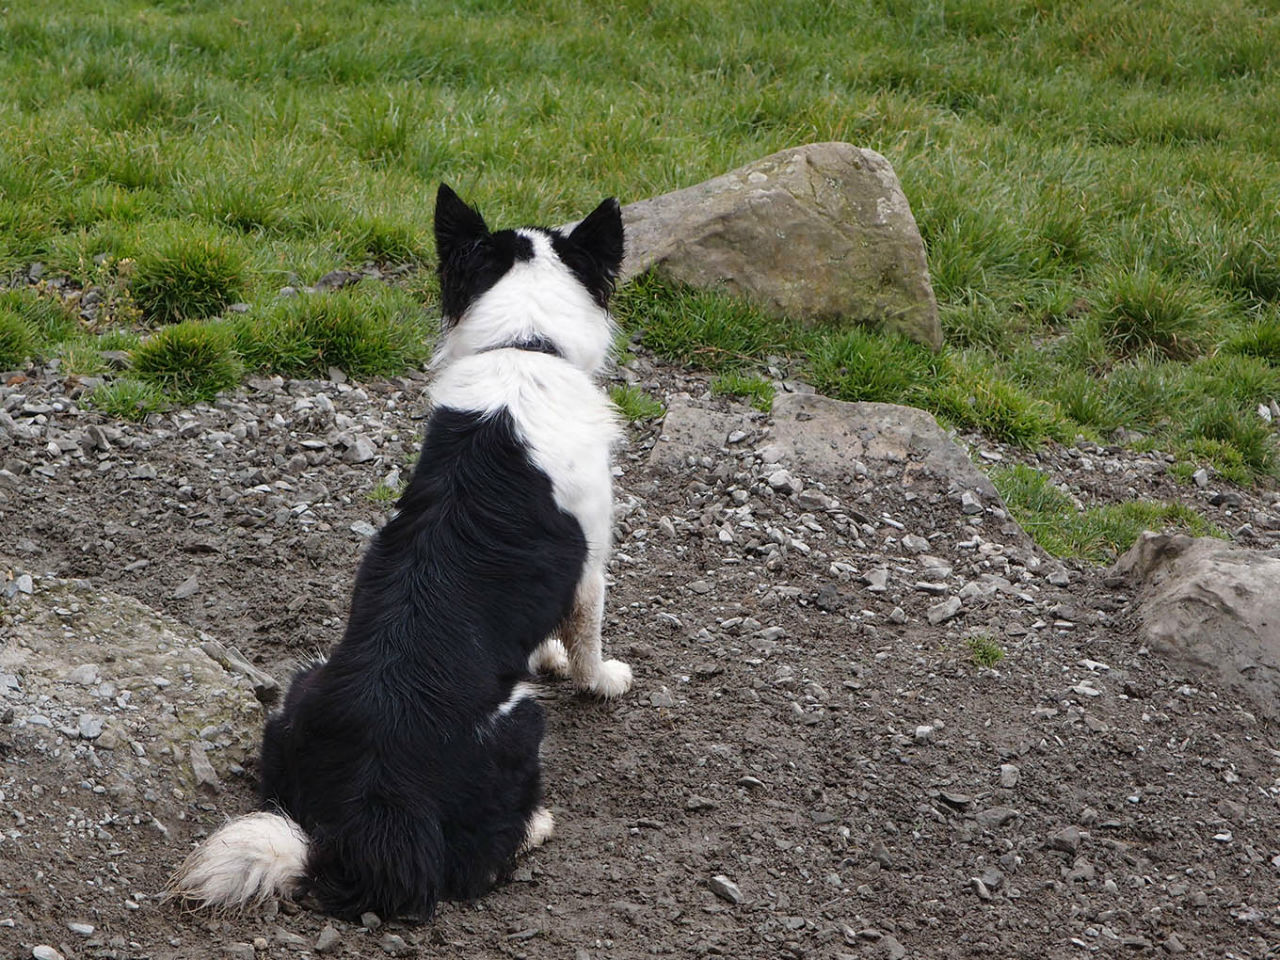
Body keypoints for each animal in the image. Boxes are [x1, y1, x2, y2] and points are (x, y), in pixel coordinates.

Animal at [165, 184, 634, 921]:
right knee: (477, 859)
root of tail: (375, 816)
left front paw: (549, 655)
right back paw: (538, 825)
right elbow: (586, 635)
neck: (525, 348)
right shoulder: (590, 563)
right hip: (519, 719)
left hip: (299, 693)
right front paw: (601, 677)